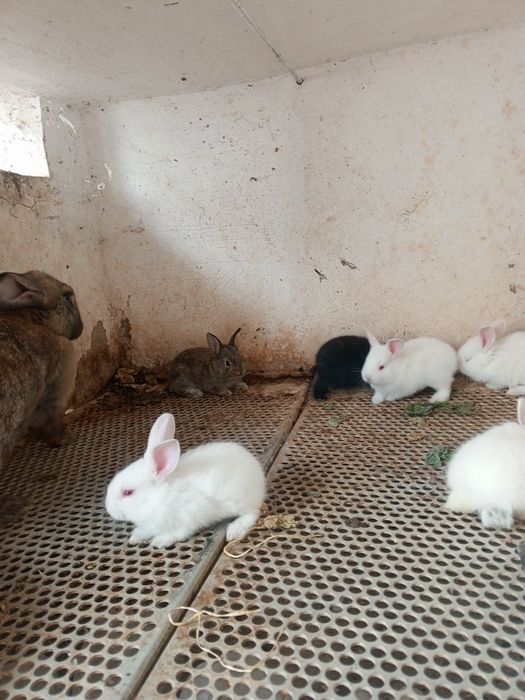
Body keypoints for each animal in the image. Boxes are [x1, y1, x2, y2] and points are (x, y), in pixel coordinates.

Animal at [105, 412, 266, 547]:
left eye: (128, 492)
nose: (109, 509)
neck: (159, 497)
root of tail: (258, 473)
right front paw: (135, 537)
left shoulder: (186, 519)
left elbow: (178, 533)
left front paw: (159, 541)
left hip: (241, 501)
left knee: (252, 514)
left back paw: (234, 530)